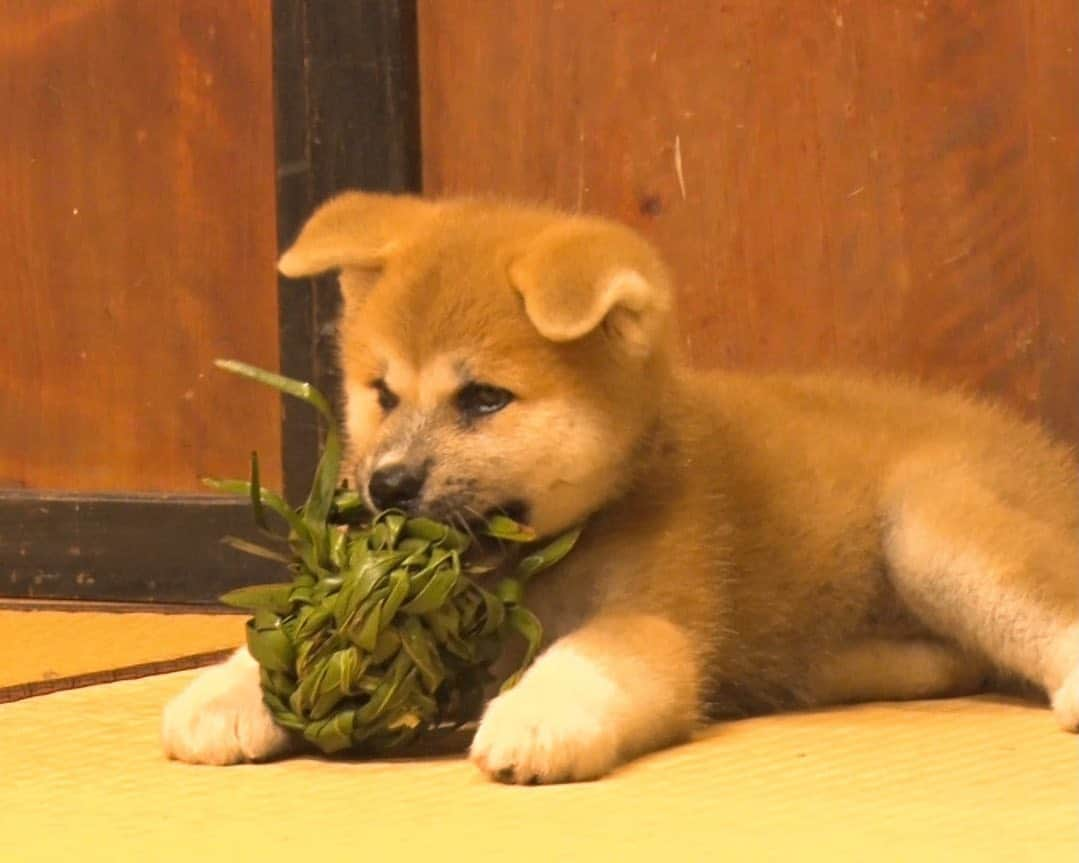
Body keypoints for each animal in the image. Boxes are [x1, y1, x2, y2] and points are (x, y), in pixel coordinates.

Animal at [161, 194, 1079, 781]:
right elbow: (271, 643)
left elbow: (588, 656)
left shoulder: (658, 616)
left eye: (483, 399)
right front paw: (225, 690)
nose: (385, 485)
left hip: (928, 528)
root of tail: (1041, 451)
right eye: (381, 392)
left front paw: (536, 715)